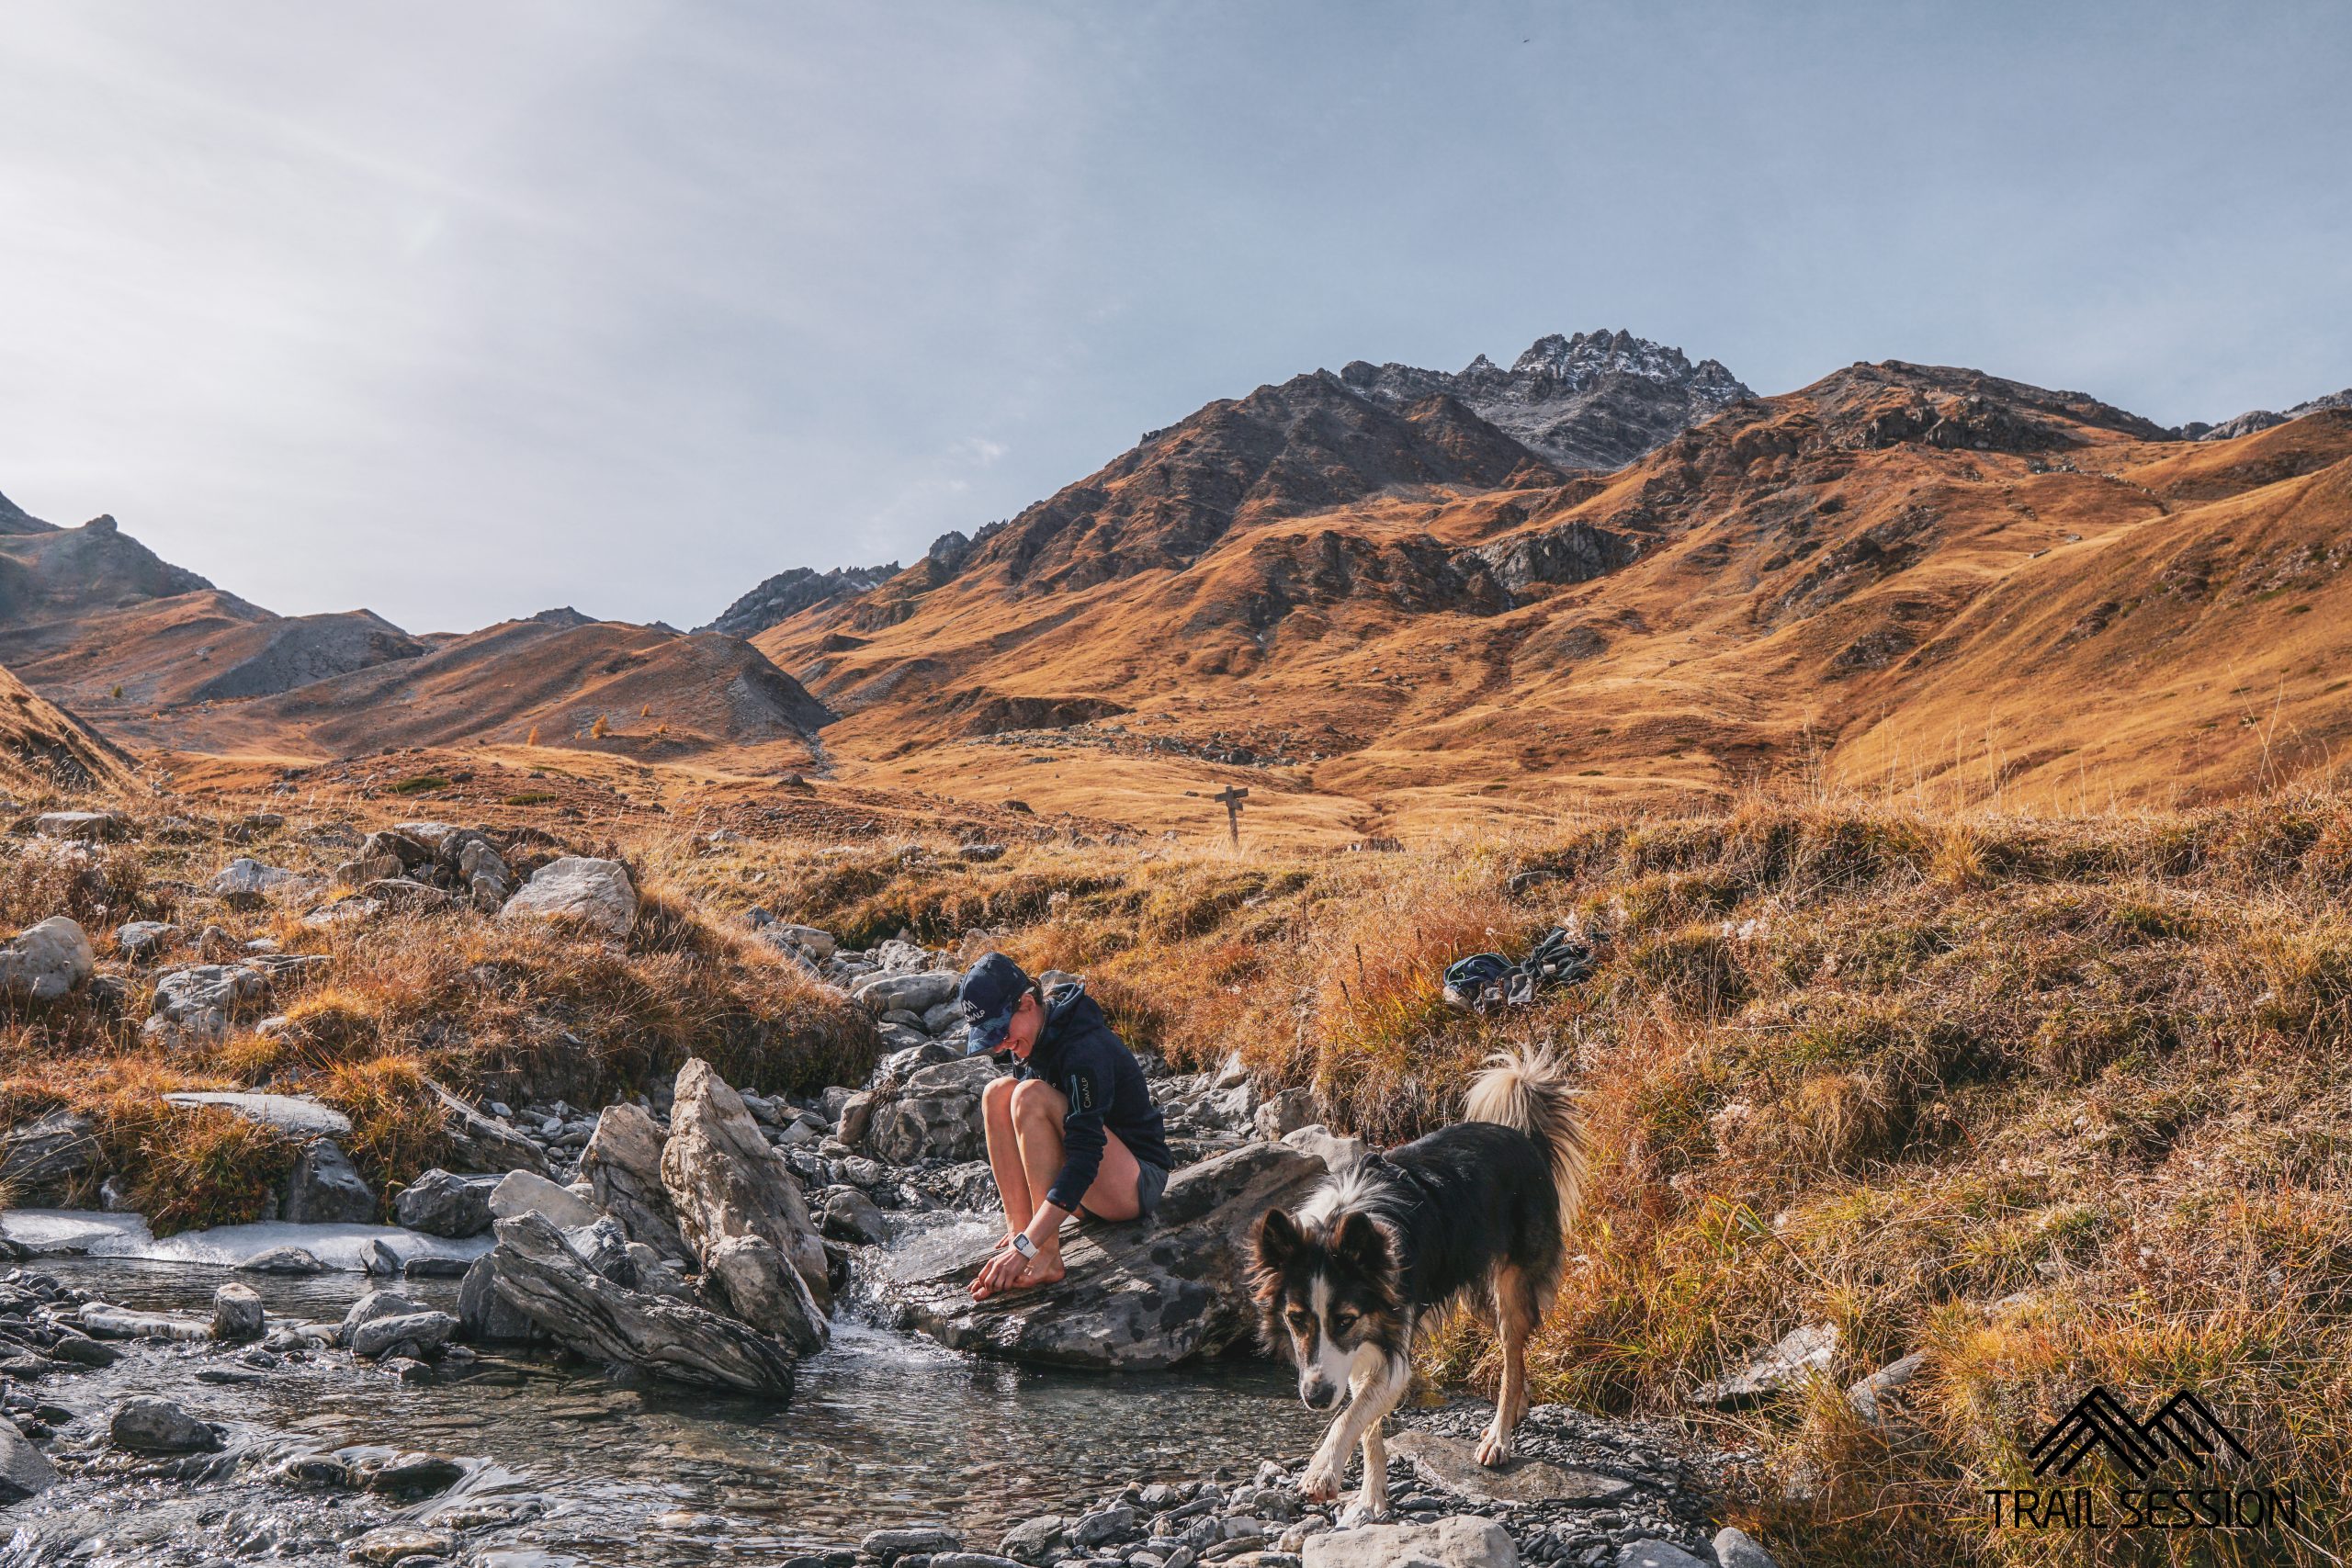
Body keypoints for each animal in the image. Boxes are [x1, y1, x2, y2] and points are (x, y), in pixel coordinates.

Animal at [1250, 1053, 1580, 1523]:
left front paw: (1322, 1472)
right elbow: (1365, 1424)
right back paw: (1518, 1407)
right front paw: (1370, 1497)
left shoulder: (1389, 1338)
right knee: (1513, 1358)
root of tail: (1523, 1137)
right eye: (1296, 1319)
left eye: (1344, 1320)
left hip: (1512, 1286)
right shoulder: (1365, 1347)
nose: (1315, 1398)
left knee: (1512, 1350)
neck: (1338, 1225)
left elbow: (1348, 1417)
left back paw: (1498, 1437)